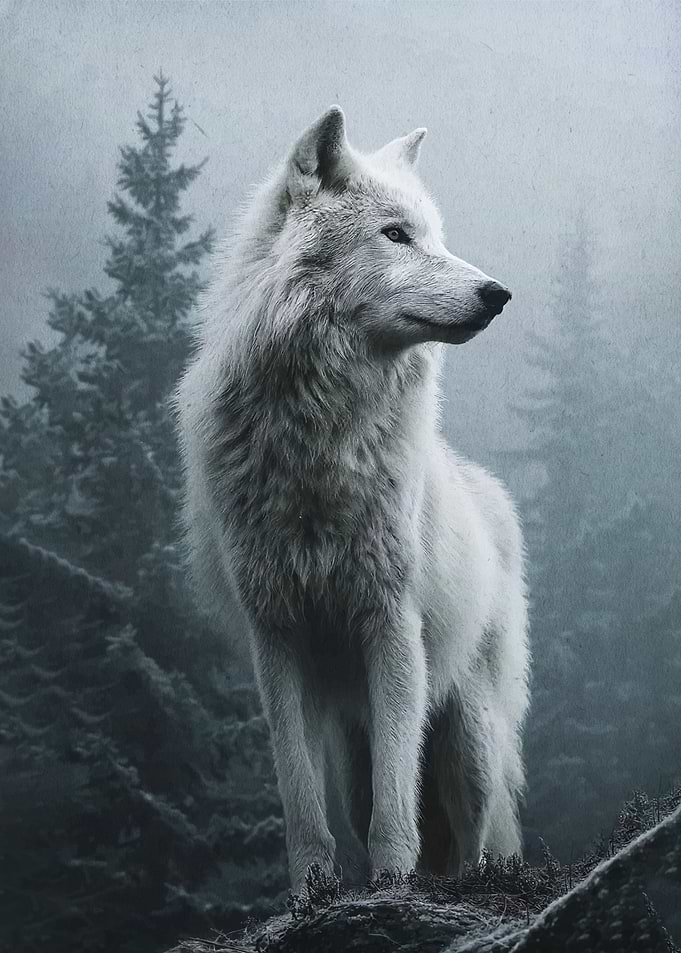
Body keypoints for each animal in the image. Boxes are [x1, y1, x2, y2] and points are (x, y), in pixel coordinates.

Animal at [174, 106, 530, 892]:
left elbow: (396, 805)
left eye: (434, 234)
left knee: (476, 838)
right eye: (396, 234)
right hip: (354, 748)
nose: (497, 294)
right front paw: (313, 890)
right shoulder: (276, 635)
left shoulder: (389, 622)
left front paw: (391, 883)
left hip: (467, 740)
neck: (319, 438)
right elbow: (299, 797)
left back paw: (464, 886)